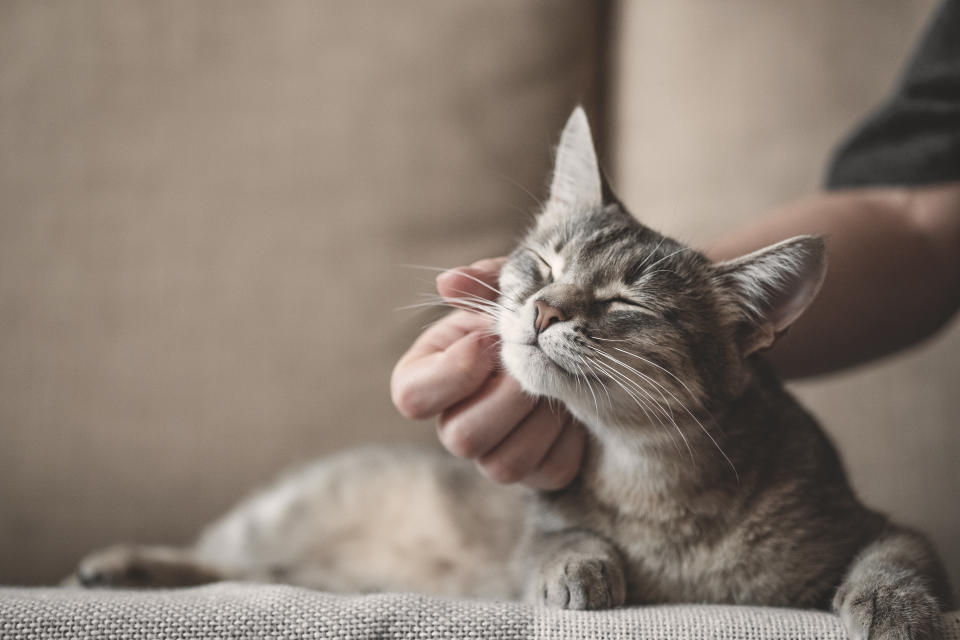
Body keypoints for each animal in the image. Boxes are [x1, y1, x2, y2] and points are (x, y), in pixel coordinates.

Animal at [71, 109, 948, 640]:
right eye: (546, 264)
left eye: (625, 301)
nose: (545, 309)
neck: (654, 483)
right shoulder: (539, 521)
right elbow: (558, 538)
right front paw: (580, 568)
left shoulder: (874, 523)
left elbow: (901, 558)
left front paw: (894, 606)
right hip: (280, 517)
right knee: (223, 559)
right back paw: (124, 564)